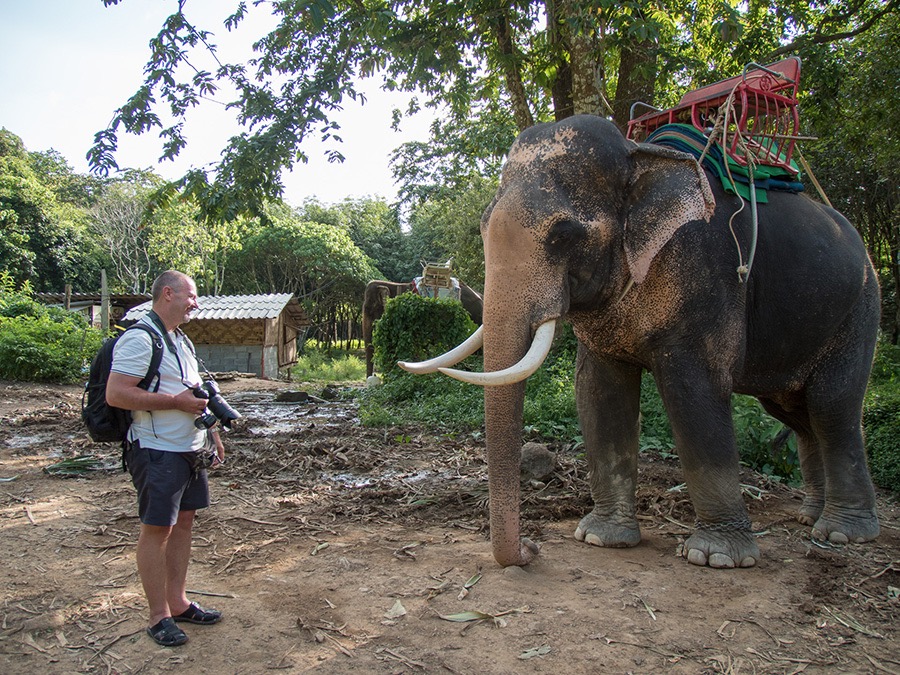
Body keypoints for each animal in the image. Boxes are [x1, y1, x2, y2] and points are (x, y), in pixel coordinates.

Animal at [399, 114, 881, 569]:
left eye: (563, 233)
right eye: (483, 227)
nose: (531, 548)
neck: (639, 155)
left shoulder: (707, 275)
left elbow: (695, 393)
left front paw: (718, 557)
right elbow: (599, 392)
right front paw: (602, 539)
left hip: (860, 308)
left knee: (831, 405)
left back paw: (843, 532)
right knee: (797, 413)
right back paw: (810, 516)